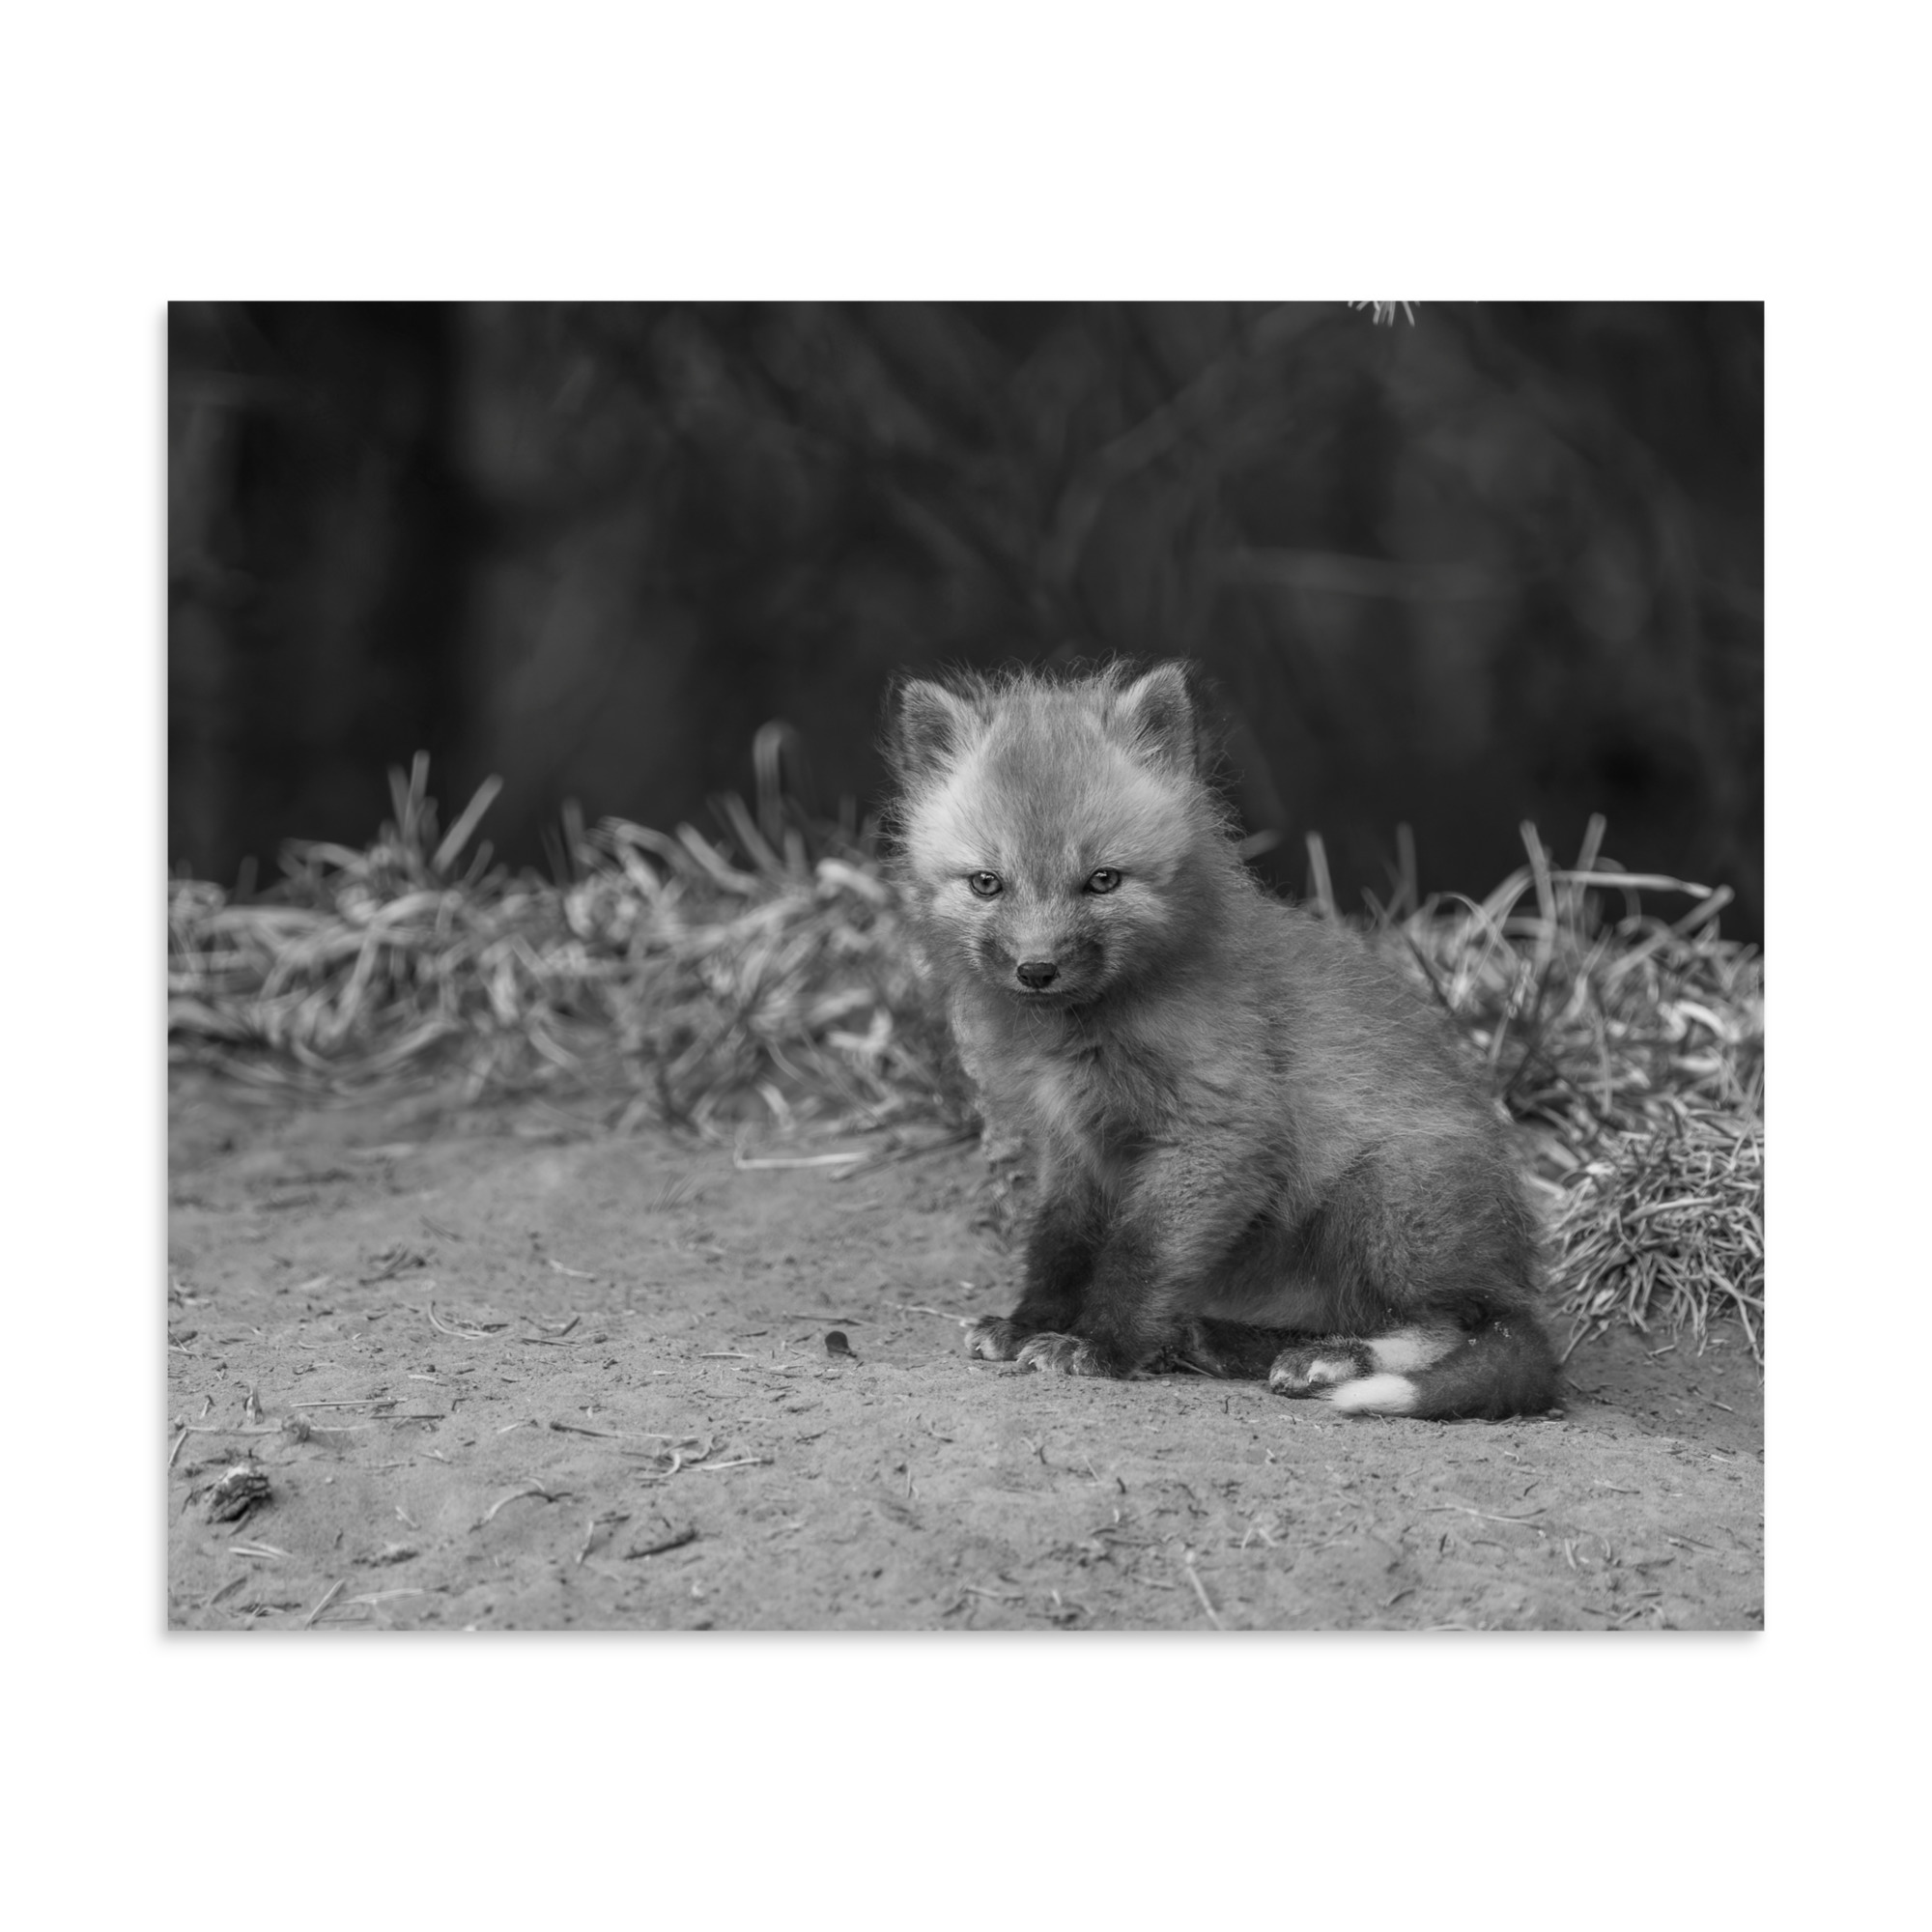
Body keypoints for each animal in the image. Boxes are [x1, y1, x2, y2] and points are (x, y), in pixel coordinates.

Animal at [886, 659, 1558, 1421]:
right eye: (987, 883)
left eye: (1103, 880)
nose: (1037, 969)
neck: (1083, 1035)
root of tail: (1514, 1269)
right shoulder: (1073, 1146)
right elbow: (1059, 1246)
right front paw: (1030, 1323)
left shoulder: (1218, 1133)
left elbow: (1139, 1255)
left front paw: (1100, 1347)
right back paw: (1220, 1341)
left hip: (1383, 1200)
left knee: (1457, 1325)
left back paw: (1330, 1361)